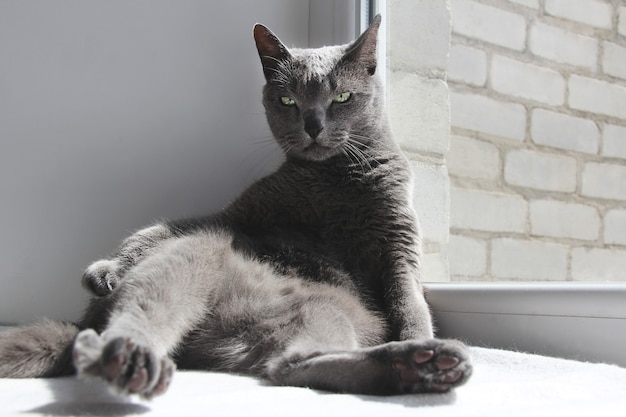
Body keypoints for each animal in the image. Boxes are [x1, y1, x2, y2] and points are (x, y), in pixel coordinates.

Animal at [0, 16, 468, 396]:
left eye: (342, 98)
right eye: (287, 101)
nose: (313, 126)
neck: (333, 179)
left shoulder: (399, 244)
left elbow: (409, 302)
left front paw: (419, 338)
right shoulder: (240, 212)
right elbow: (165, 226)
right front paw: (106, 269)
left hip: (328, 310)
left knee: (291, 363)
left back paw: (417, 364)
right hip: (200, 250)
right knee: (158, 301)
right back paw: (131, 358)